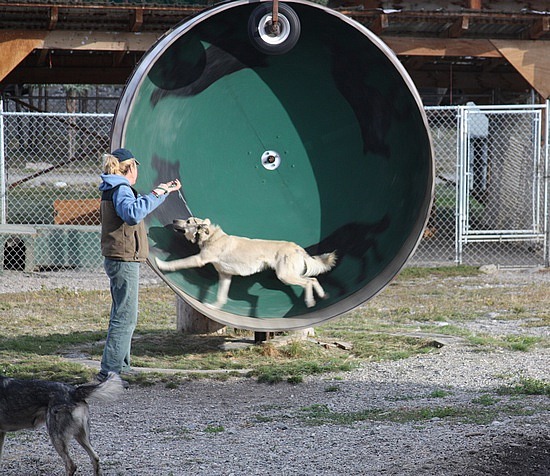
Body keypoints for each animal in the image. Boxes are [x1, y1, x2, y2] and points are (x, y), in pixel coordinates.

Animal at [153, 218, 338, 308]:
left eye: (189, 221)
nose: (174, 221)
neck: (211, 236)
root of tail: (296, 247)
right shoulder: (225, 276)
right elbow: (221, 296)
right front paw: (214, 307)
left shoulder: (199, 259)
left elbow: (178, 262)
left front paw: (161, 264)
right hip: (289, 275)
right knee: (313, 279)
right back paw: (322, 295)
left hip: (285, 276)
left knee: (308, 282)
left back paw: (310, 301)